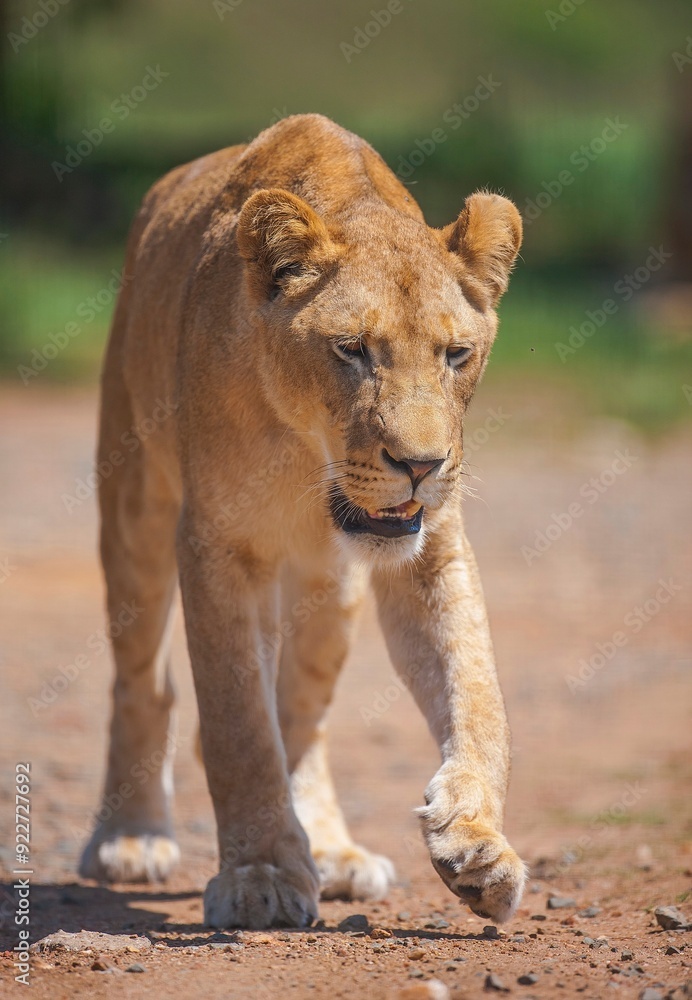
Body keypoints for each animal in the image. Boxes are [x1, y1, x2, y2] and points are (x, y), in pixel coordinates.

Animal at [79, 113, 526, 930]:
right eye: (351, 349)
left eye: (456, 354)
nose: (420, 464)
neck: (306, 462)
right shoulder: (218, 546)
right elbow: (240, 728)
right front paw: (259, 874)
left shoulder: (431, 548)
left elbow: (477, 693)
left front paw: (477, 845)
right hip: (135, 512)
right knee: (141, 684)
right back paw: (130, 838)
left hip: (331, 593)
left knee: (305, 718)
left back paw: (334, 851)